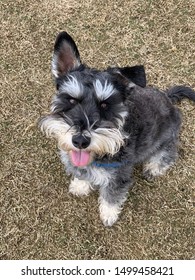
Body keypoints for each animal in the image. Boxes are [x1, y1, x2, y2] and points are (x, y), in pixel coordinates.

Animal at [40, 31, 195, 226]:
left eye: (105, 105)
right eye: (72, 100)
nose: (80, 140)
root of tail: (168, 98)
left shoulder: (118, 175)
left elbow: (112, 196)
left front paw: (108, 214)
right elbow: (82, 173)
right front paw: (80, 185)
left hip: (167, 137)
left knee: (169, 153)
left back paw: (154, 167)